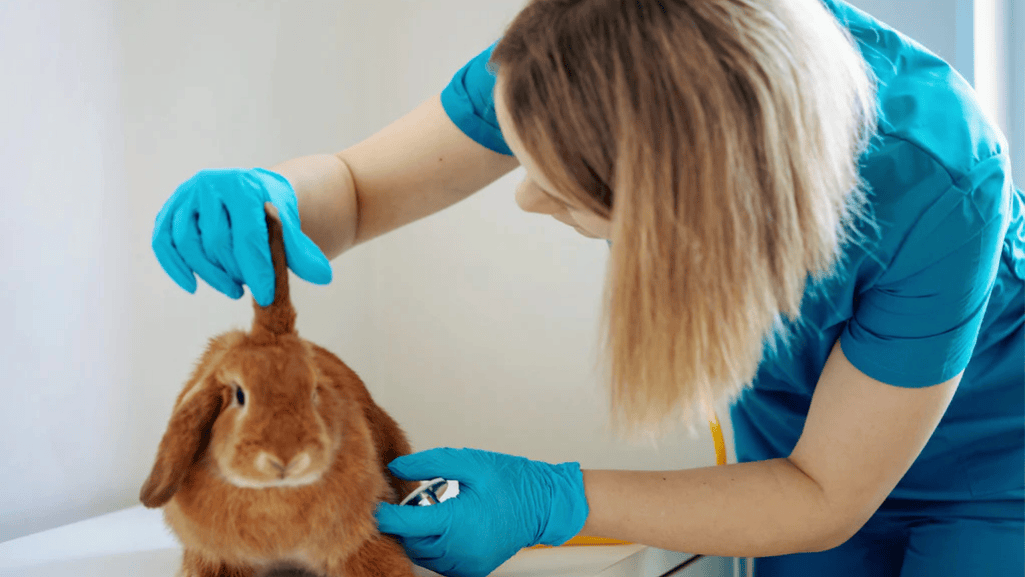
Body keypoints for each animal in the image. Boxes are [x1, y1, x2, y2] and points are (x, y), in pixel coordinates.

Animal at [140, 207, 420, 577]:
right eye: (239, 396)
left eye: (314, 391)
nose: (287, 459)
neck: (274, 497)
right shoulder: (218, 558)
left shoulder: (360, 544)